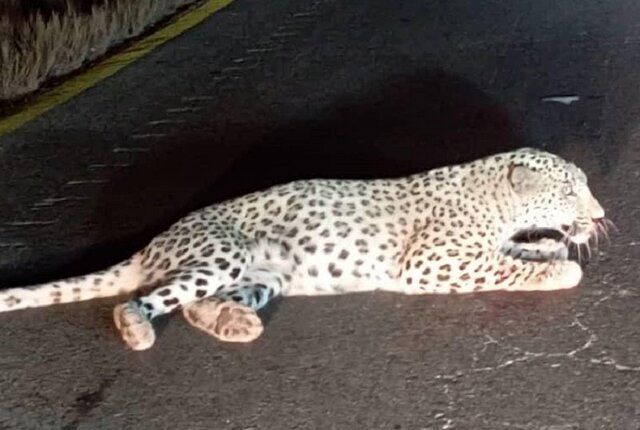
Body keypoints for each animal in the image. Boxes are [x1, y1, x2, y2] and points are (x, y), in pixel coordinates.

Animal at [0, 147, 609, 351]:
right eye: (570, 190)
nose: (601, 215)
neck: (494, 201)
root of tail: (156, 241)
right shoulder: (432, 263)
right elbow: (505, 268)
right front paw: (559, 271)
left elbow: (521, 254)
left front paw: (550, 251)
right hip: (222, 253)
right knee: (140, 300)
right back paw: (138, 330)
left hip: (265, 275)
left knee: (197, 305)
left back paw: (235, 324)